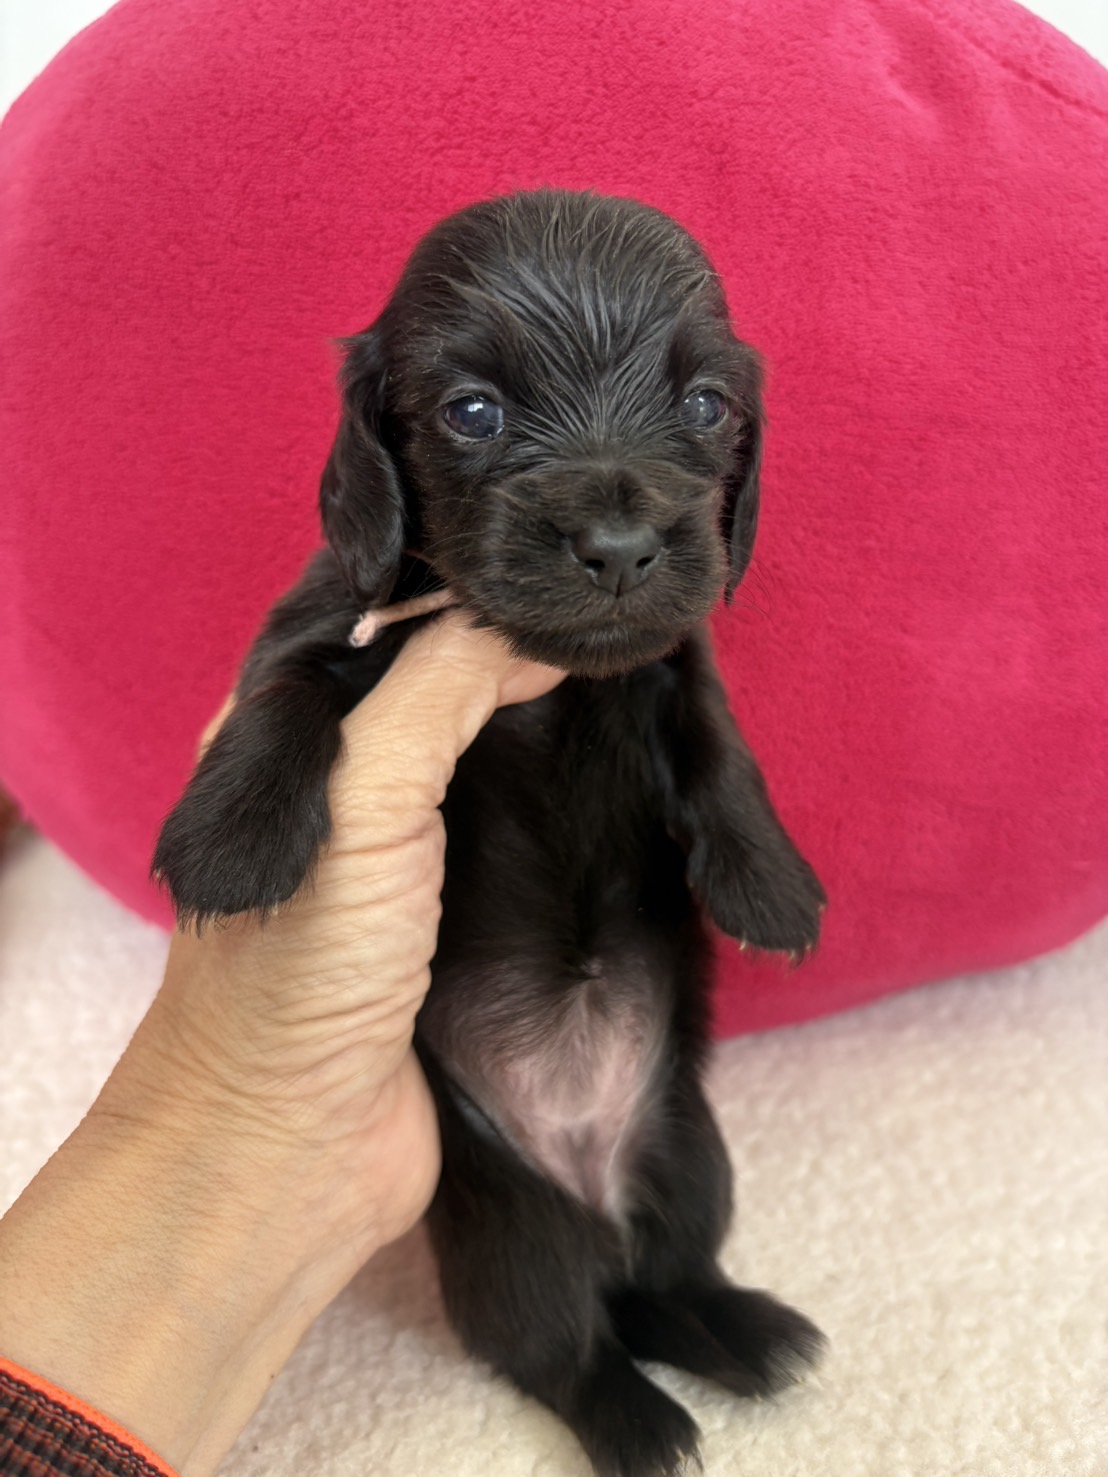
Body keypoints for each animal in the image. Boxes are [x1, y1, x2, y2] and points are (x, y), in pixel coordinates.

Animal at [154, 189, 827, 1476]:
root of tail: (592, 1192)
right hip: (510, 1238)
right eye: (473, 411)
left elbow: (718, 732)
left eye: (705, 406)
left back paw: (748, 1336)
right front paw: (232, 837)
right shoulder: (339, 611)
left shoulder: (670, 653)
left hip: (691, 1159)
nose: (618, 549)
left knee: (661, 1282)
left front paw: (770, 885)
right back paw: (643, 1421)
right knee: (564, 1345)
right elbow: (286, 687)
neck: (550, 684)